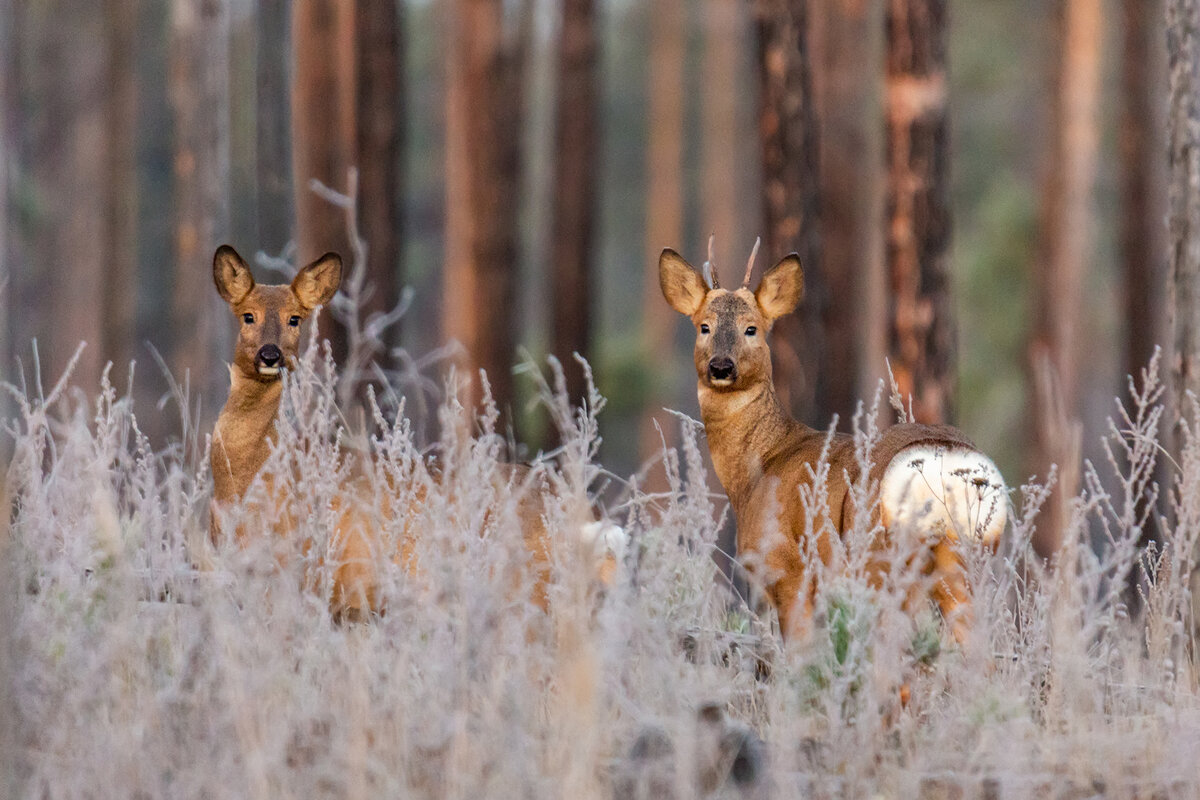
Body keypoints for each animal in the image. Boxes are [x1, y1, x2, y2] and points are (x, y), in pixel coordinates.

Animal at [662, 241, 1008, 642]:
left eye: (752, 329)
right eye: (704, 326)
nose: (721, 366)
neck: (759, 466)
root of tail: (947, 464)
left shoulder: (788, 569)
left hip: (880, 557)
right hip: (969, 559)